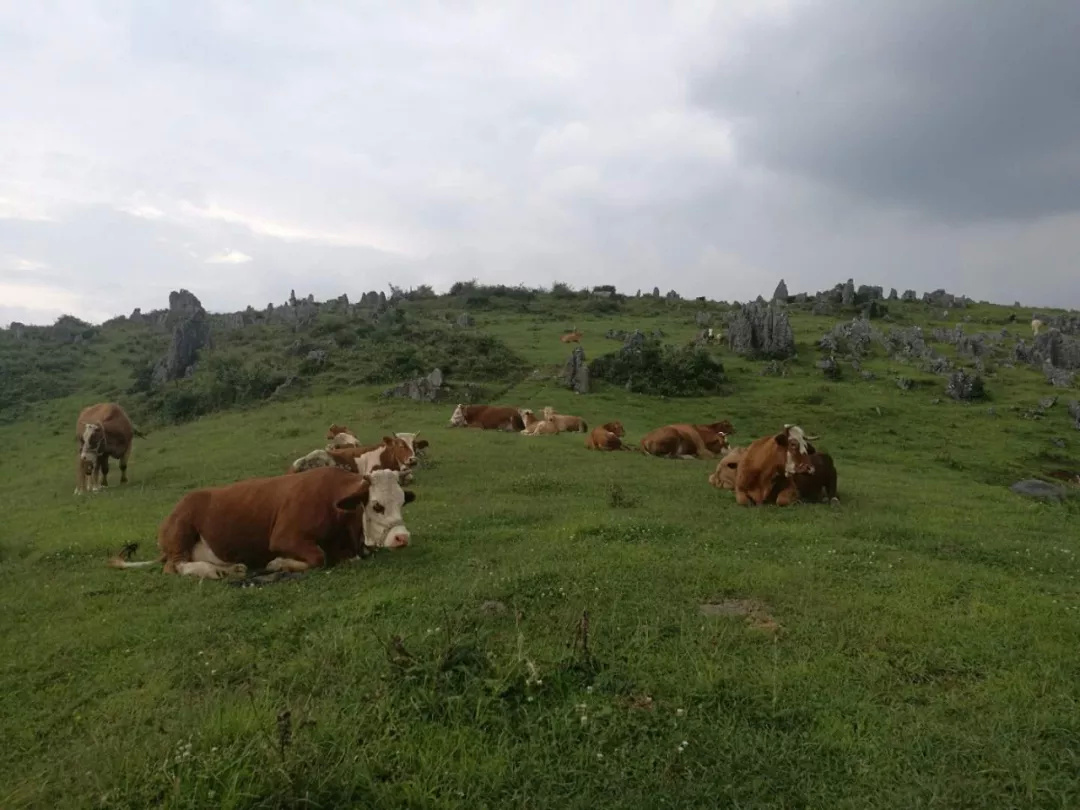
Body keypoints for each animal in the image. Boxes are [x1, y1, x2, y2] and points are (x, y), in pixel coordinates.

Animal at [107, 466, 414, 578]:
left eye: (402, 502)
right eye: (377, 505)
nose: (403, 537)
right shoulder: (284, 537)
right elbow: (317, 557)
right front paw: (278, 563)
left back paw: (232, 567)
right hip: (181, 531)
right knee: (175, 566)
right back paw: (213, 571)